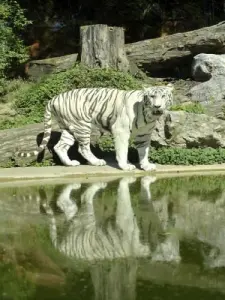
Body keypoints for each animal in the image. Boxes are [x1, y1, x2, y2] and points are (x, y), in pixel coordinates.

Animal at [16, 84, 174, 171]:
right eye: (152, 96)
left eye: (164, 96)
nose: (157, 106)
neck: (149, 116)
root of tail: (54, 98)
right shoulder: (120, 130)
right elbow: (122, 151)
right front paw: (125, 166)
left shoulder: (144, 135)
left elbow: (143, 151)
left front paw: (146, 166)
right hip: (82, 126)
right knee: (83, 148)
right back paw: (97, 162)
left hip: (68, 127)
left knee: (59, 146)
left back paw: (70, 164)